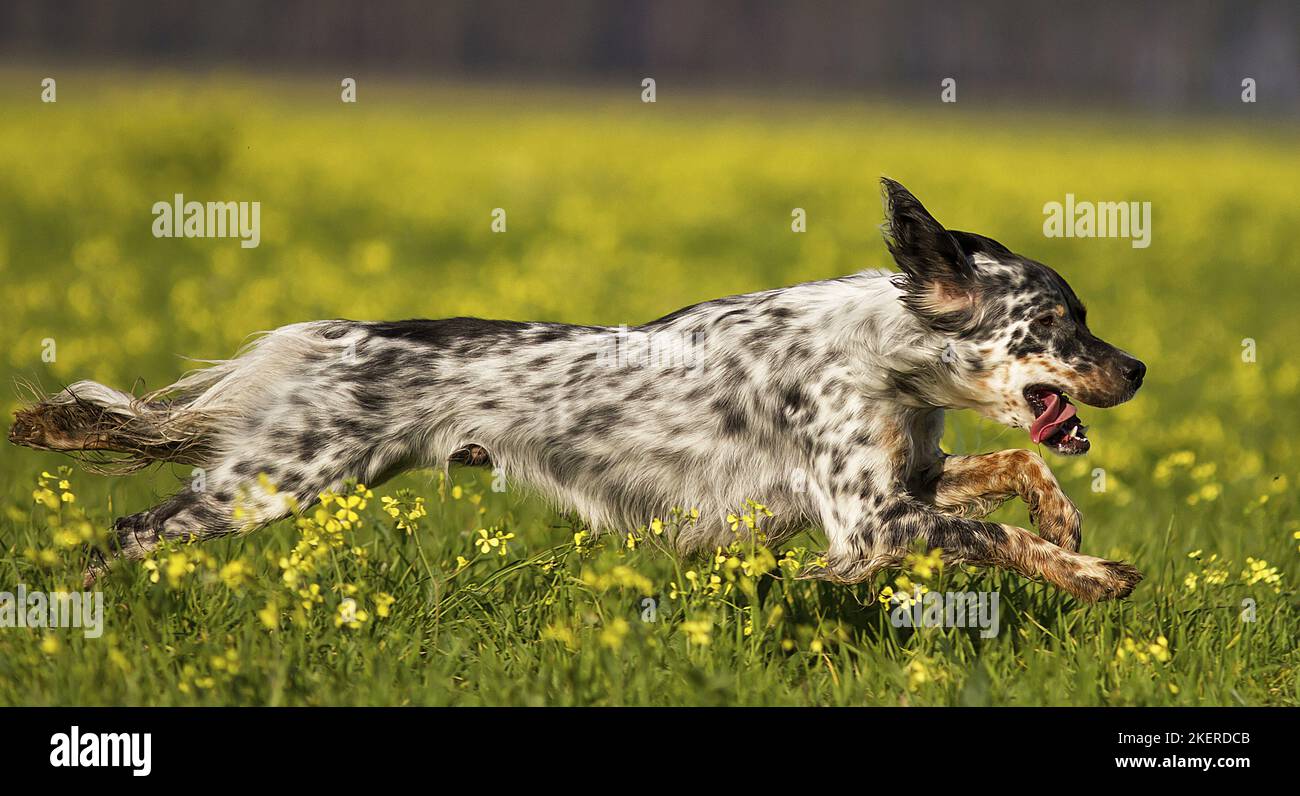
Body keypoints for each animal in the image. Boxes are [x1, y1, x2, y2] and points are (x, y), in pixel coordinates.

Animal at [10, 178, 1149, 598]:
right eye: (1061, 320)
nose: (1137, 367)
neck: (886, 354)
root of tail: (332, 333)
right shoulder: (869, 524)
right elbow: (992, 532)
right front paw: (1098, 574)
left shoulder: (895, 490)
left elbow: (1015, 472)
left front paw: (1068, 524)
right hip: (274, 481)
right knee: (135, 525)